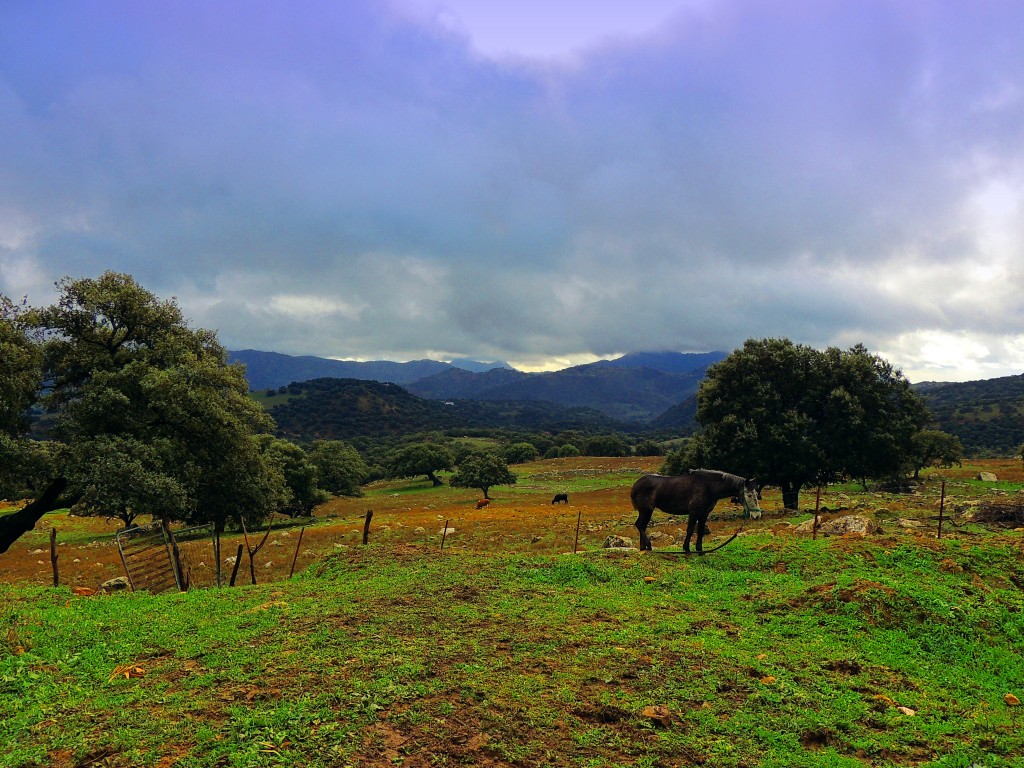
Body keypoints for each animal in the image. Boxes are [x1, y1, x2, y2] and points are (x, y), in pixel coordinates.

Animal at [630, 468, 761, 552]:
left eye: (757, 494)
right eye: (749, 495)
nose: (757, 515)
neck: (708, 487)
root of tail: (636, 485)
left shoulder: (704, 513)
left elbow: (701, 530)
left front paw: (699, 549)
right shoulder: (694, 512)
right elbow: (690, 530)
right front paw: (686, 548)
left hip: (646, 511)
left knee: (642, 526)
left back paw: (644, 548)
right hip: (646, 510)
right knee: (640, 525)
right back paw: (648, 545)